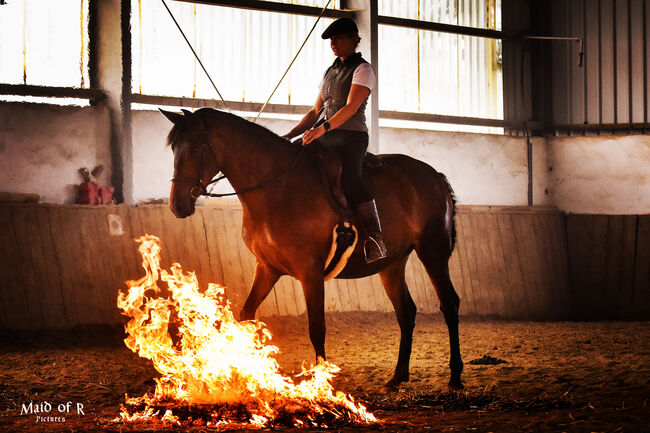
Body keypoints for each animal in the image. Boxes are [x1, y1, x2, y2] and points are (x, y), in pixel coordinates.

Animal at [161, 107, 460, 388]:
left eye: (196, 148)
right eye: (174, 148)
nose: (177, 205)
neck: (278, 187)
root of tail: (434, 176)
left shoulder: (311, 273)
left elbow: (316, 327)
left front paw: (321, 380)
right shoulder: (267, 268)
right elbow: (245, 315)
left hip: (433, 252)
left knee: (449, 303)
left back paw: (455, 376)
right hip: (391, 265)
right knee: (406, 312)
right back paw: (398, 375)